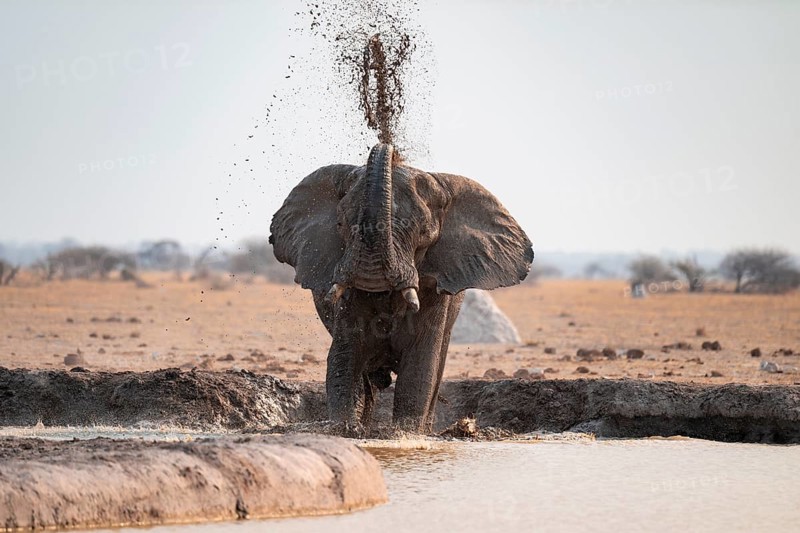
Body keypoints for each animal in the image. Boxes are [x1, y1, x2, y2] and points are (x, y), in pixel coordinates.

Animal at [269, 143, 533, 434]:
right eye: (341, 225)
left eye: (424, 235)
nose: (388, 146)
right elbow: (344, 357)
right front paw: (346, 430)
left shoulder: (434, 289)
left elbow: (420, 366)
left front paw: (405, 433)